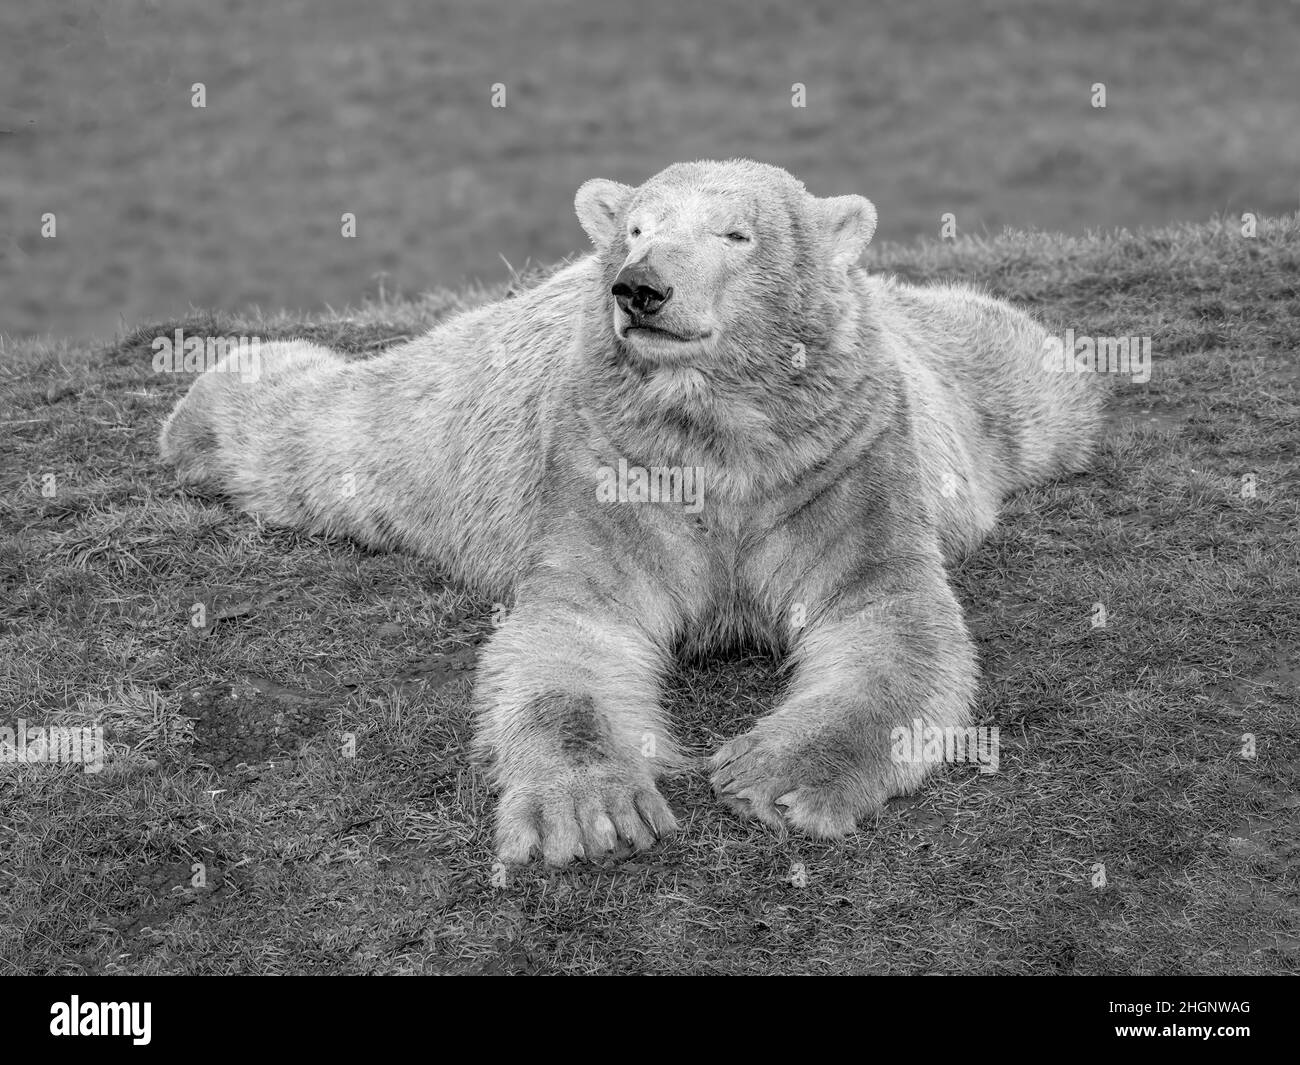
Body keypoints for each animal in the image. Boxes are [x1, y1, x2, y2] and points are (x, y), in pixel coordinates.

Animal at [157, 164, 1102, 868]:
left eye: (736, 234)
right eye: (640, 229)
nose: (638, 288)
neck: (720, 429)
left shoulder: (843, 455)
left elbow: (887, 617)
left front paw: (773, 775)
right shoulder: (610, 461)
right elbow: (578, 629)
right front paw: (595, 811)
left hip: (975, 394)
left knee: (1032, 370)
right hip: (438, 421)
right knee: (339, 433)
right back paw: (204, 404)